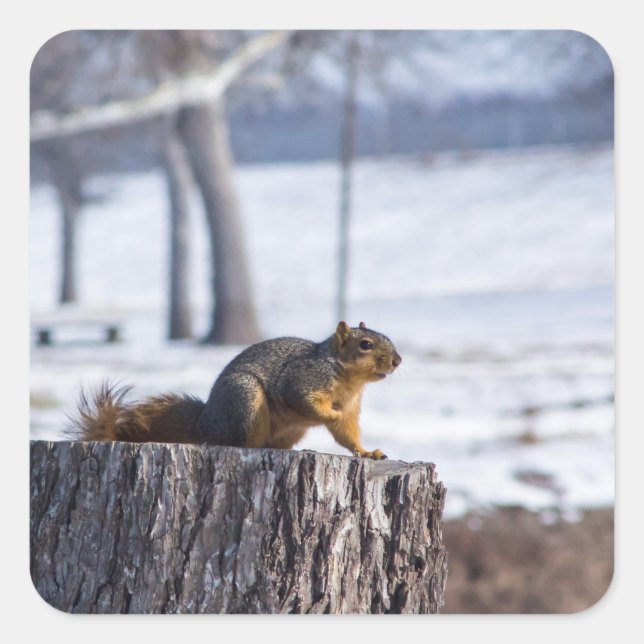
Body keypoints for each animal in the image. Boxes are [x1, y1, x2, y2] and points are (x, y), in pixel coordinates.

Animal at [69, 321, 402, 460]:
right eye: (365, 344)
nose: (398, 361)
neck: (348, 380)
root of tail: (204, 423)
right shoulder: (301, 379)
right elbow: (306, 402)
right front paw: (329, 412)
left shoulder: (353, 408)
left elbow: (348, 434)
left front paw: (367, 452)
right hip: (245, 399)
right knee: (238, 442)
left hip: (287, 429)